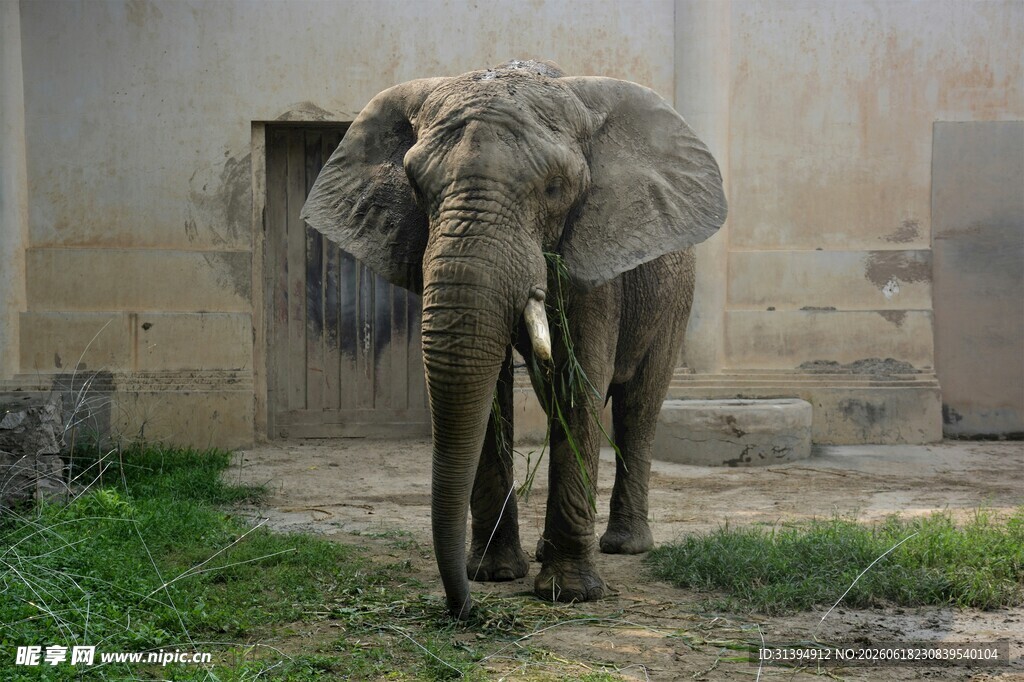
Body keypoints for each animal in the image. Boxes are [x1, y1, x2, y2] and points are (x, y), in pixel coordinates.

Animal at [301, 60, 726, 618]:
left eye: (555, 188)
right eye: (414, 185)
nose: (463, 609)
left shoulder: (594, 256)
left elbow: (580, 385)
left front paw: (568, 593)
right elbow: (492, 390)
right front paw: (496, 574)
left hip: (676, 298)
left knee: (638, 404)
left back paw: (624, 546)